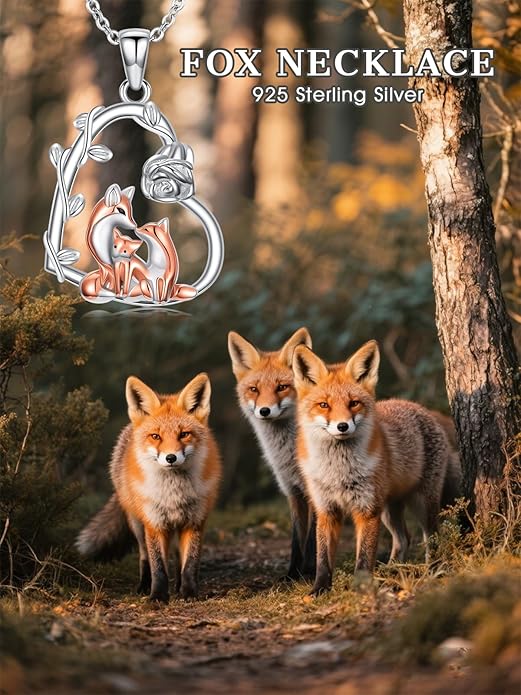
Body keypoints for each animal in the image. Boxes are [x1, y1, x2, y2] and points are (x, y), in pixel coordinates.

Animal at [76, 373, 222, 603]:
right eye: (156, 436)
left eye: (184, 434)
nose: (171, 458)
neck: (173, 493)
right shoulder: (154, 523)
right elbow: (158, 566)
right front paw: (158, 596)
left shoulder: (195, 521)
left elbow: (190, 563)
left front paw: (189, 592)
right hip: (137, 523)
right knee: (144, 556)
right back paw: (144, 586)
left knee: (178, 557)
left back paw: (178, 587)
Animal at [228, 328, 316, 580]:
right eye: (254, 389)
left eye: (281, 387)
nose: (264, 411)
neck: (288, 455)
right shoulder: (292, 491)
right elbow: (297, 540)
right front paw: (293, 574)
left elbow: (312, 539)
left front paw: (309, 572)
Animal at [292, 340, 457, 596]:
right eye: (324, 405)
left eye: (354, 403)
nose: (342, 426)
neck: (338, 471)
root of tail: (423, 409)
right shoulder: (326, 509)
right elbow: (323, 558)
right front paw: (319, 589)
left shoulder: (367, 510)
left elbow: (364, 557)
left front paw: (361, 589)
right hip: (389, 509)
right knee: (404, 538)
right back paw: (391, 571)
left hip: (421, 502)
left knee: (432, 537)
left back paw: (433, 571)